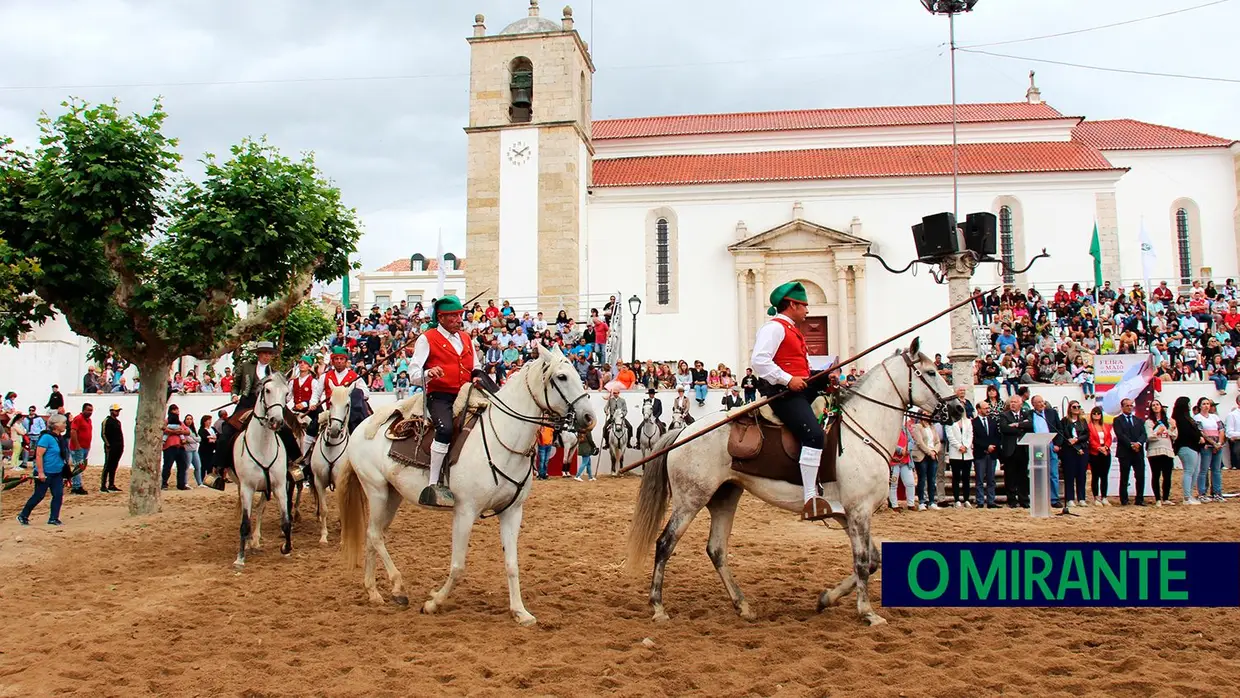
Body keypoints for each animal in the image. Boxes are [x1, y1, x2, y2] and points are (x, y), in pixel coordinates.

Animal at [233, 371, 292, 567]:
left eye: (286, 393)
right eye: (267, 390)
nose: (276, 421)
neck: (263, 446)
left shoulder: (280, 487)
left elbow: (285, 521)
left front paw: (286, 548)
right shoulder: (247, 488)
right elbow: (245, 522)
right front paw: (240, 557)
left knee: (259, 510)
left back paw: (256, 540)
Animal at [334, 349, 595, 627]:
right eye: (562, 376)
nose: (589, 418)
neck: (502, 439)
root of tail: (362, 427)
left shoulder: (512, 512)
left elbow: (512, 564)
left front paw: (520, 612)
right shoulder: (465, 512)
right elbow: (458, 566)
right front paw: (433, 602)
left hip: (392, 496)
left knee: (374, 535)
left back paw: (374, 592)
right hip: (377, 491)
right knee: (374, 535)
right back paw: (397, 587)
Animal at [629, 339, 957, 627]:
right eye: (930, 373)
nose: (957, 410)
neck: (862, 430)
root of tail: (684, 432)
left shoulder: (846, 513)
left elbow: (872, 561)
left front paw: (826, 598)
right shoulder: (859, 510)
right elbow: (863, 561)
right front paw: (867, 613)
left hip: (725, 496)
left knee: (717, 549)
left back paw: (743, 605)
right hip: (691, 499)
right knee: (665, 544)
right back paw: (658, 607)